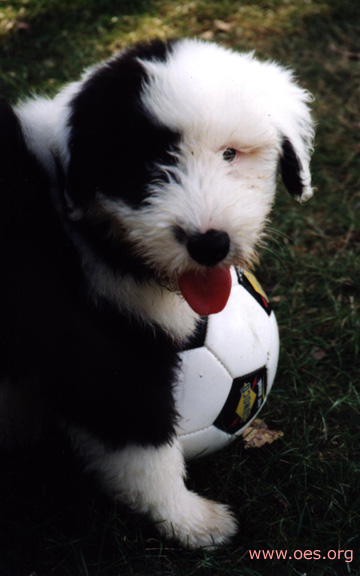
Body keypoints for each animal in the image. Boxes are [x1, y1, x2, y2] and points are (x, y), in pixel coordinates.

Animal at [0, 38, 316, 548]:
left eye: (231, 154)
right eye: (149, 166)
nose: (209, 245)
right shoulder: (103, 348)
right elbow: (141, 444)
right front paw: (189, 521)